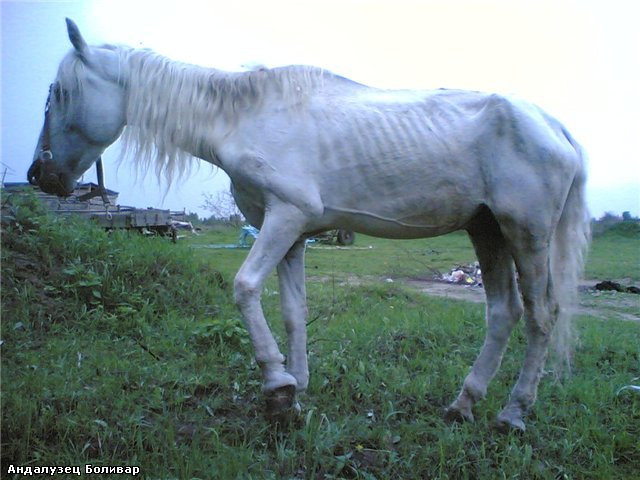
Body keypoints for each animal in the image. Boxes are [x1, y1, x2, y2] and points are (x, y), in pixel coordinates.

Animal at [28, 19, 592, 432]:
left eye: (60, 91)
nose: (40, 175)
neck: (246, 117)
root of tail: (553, 126)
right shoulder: (292, 234)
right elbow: (293, 312)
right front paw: (296, 388)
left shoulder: (285, 218)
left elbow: (245, 287)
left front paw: (277, 389)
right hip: (486, 231)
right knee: (503, 313)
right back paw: (463, 405)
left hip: (526, 234)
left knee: (541, 316)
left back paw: (513, 414)